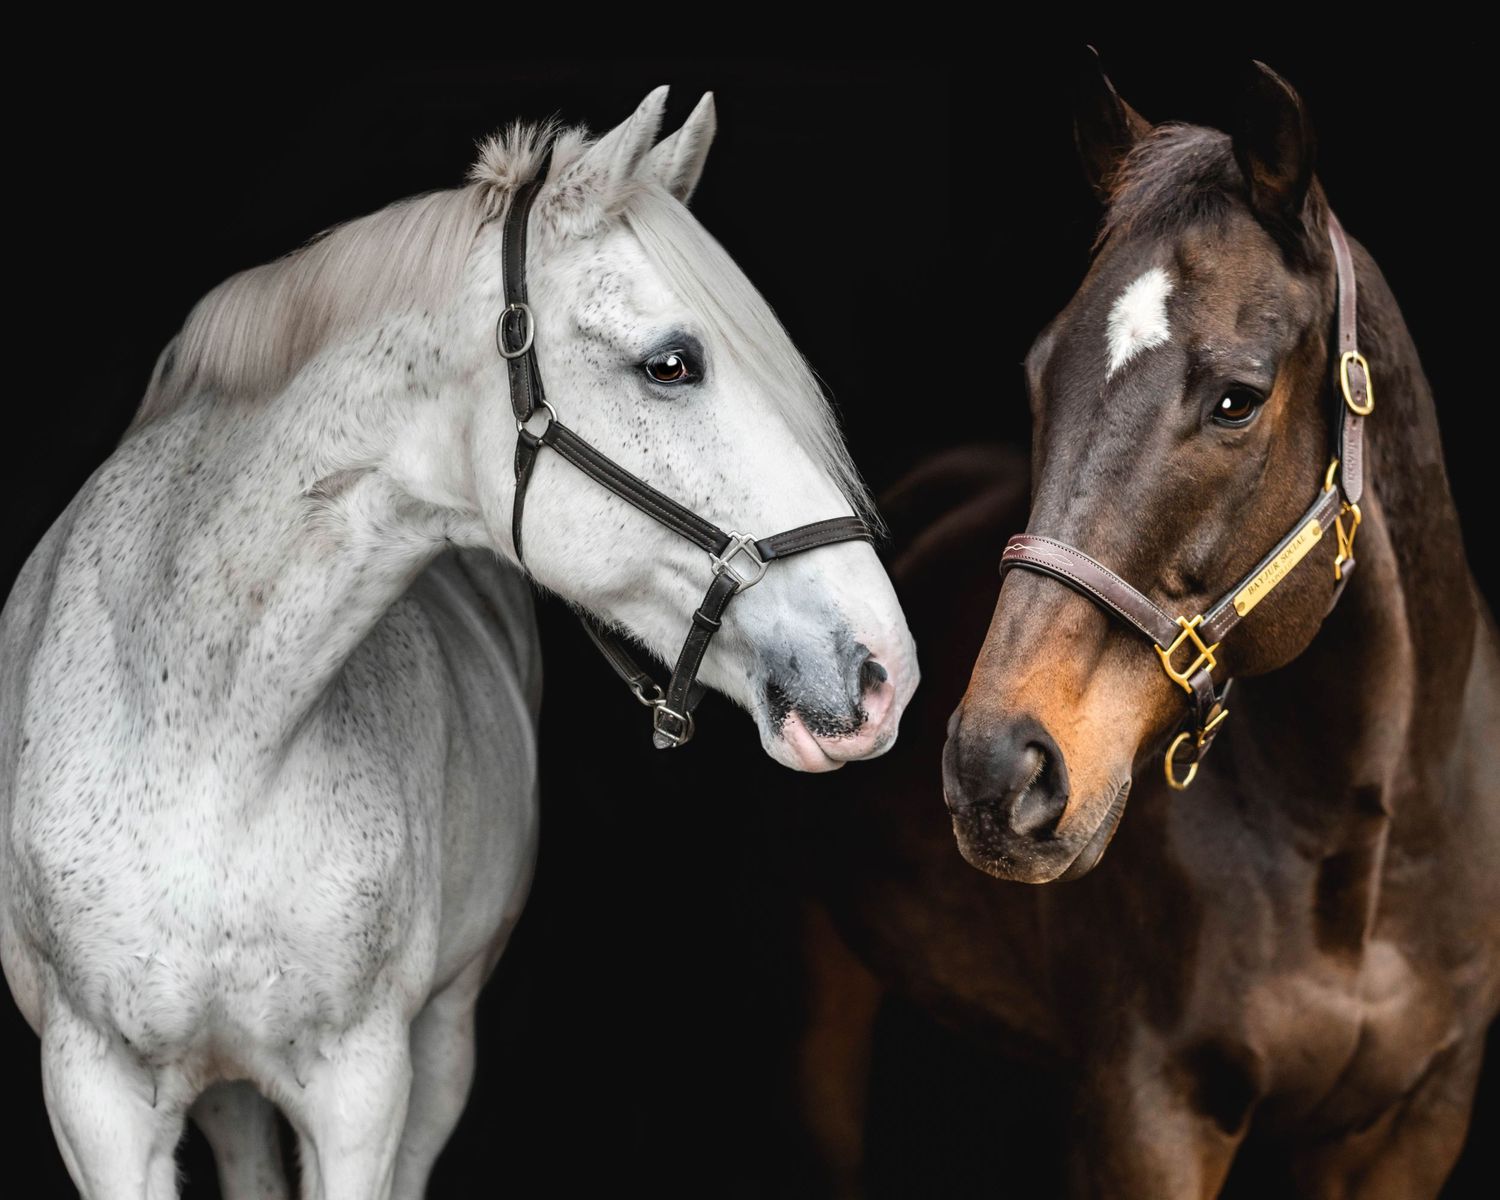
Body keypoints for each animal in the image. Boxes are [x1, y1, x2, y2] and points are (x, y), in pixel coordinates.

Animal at [0, 86, 917, 1200]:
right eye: (671, 364)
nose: (885, 670)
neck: (209, 741)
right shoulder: (95, 1096)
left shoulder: (362, 1092)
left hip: (440, 1045)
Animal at [795, 59, 1498, 1198]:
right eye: (1039, 372)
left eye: (1237, 399)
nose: (995, 771)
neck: (1362, 833)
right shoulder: (1147, 1111)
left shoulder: (1415, 1120)